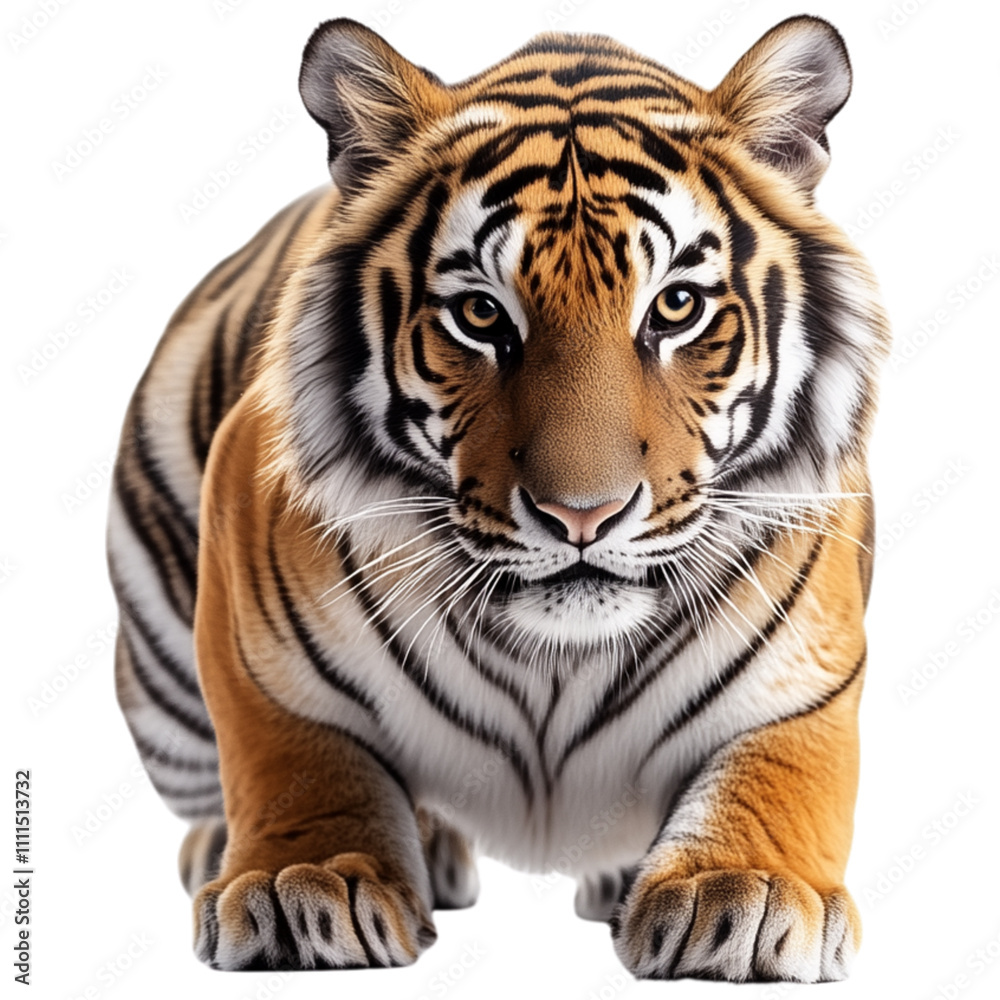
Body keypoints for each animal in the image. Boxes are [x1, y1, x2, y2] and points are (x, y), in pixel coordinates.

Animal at [107, 14, 888, 982]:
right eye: (481, 316)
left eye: (674, 307)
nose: (583, 515)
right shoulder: (255, 639)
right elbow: (293, 752)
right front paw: (305, 881)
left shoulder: (807, 681)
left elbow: (781, 776)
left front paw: (744, 892)